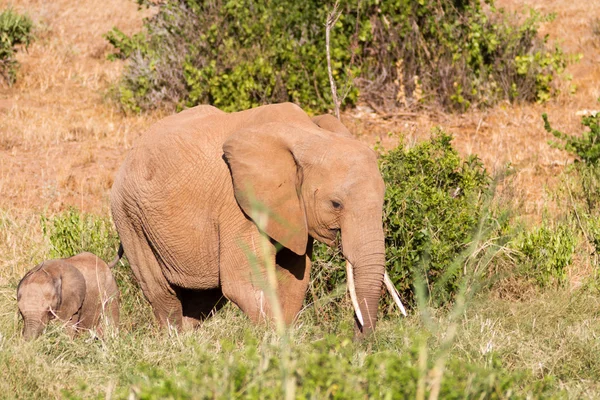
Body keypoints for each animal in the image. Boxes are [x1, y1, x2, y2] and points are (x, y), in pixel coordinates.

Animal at [112, 102, 394, 334]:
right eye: (336, 204)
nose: (360, 341)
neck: (306, 135)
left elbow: (294, 279)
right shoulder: (238, 204)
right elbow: (244, 283)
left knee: (202, 298)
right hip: (130, 217)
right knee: (162, 293)